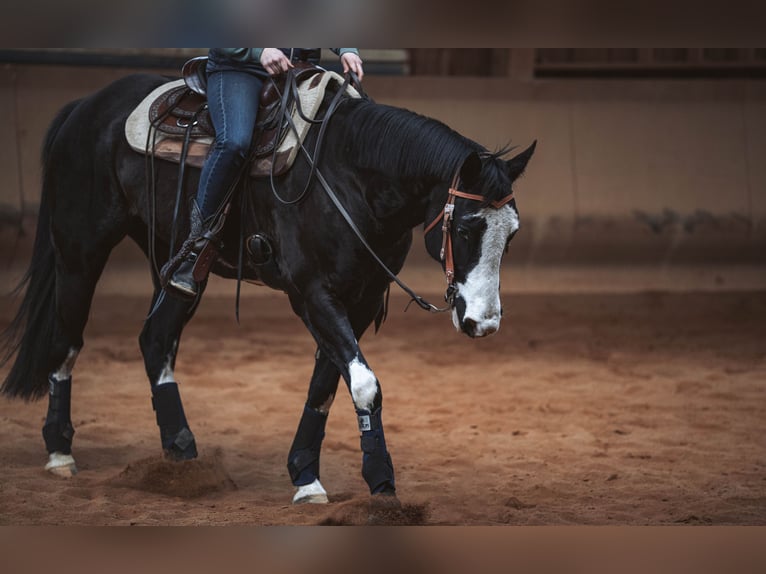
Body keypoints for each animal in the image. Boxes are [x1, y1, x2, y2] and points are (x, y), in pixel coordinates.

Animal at [0, 71, 535, 504]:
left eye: (510, 234)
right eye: (465, 227)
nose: (483, 323)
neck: (348, 175)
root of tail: (84, 106)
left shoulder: (359, 298)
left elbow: (327, 385)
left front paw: (307, 475)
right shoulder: (313, 293)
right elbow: (363, 384)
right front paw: (378, 481)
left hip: (177, 270)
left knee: (155, 340)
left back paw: (181, 454)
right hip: (80, 253)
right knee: (66, 342)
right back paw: (60, 453)